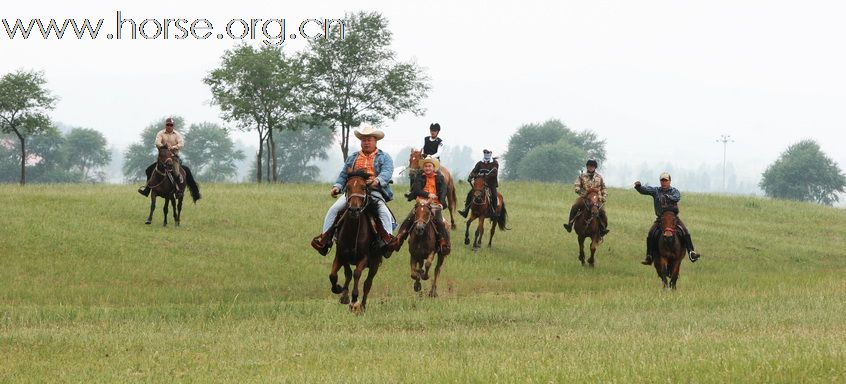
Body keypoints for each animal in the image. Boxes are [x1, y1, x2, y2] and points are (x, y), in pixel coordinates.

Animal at [328, 170, 388, 312]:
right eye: (348, 187)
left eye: (364, 187)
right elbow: (337, 274)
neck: (353, 231)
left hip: (374, 264)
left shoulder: (364, 258)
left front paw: (354, 299)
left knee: (367, 283)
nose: (354, 210)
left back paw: (362, 306)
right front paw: (341, 292)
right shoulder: (341, 255)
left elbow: (356, 274)